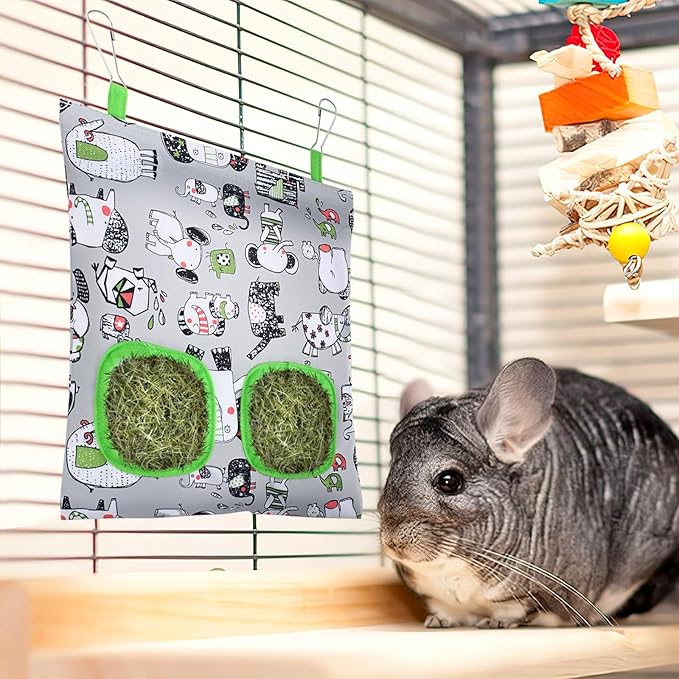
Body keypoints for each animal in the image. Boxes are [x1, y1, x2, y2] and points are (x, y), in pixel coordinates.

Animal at [379, 358, 679, 629]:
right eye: (391, 471)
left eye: (449, 481)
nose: (392, 539)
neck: (452, 568)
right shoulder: (436, 597)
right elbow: (444, 610)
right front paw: (436, 621)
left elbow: (521, 610)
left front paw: (495, 622)